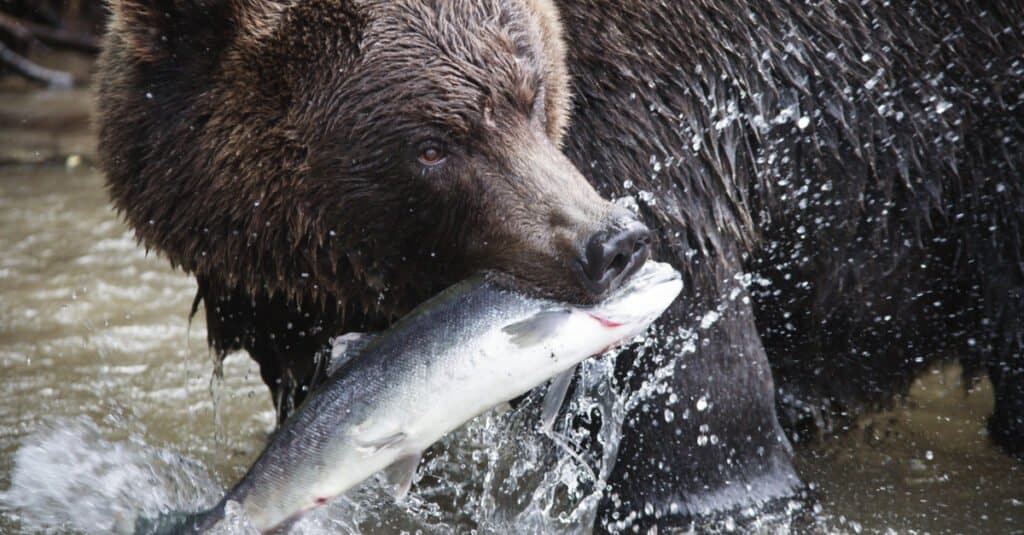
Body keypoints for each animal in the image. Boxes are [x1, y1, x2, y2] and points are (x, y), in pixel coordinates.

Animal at [96, 0, 1024, 528]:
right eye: (431, 144)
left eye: (529, 88)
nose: (612, 243)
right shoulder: (284, 297)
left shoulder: (668, 131)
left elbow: (702, 417)